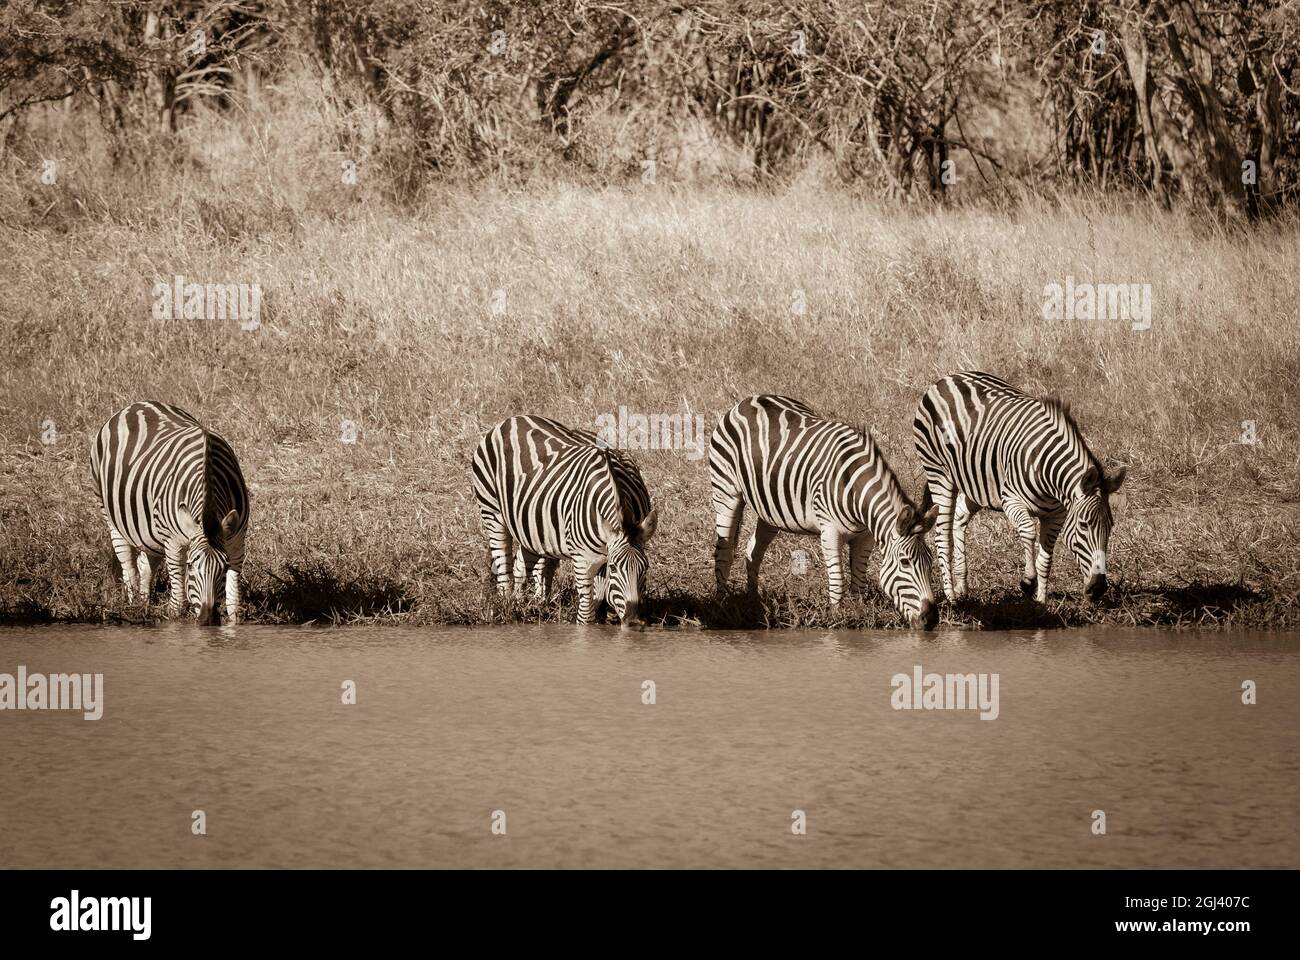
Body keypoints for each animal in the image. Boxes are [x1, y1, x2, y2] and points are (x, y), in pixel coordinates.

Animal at [89, 400, 250, 624]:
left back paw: (144, 604)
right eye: (190, 566)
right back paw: (133, 606)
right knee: (128, 565)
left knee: (146, 564)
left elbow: (233, 603)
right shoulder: (173, 544)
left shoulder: (236, 541)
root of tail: (136, 405)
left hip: (149, 531)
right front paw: (175, 625)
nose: (207, 620)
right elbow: (178, 602)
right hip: (110, 515)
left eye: (224, 568)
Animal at [470, 416, 660, 624]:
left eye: (646, 568)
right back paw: (508, 610)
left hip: (532, 526)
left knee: (522, 565)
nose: (633, 620)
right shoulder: (584, 560)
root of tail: (512, 419)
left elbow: (601, 598)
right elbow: (586, 615)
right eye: (614, 567)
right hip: (492, 511)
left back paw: (524, 606)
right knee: (504, 566)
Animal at [707, 395, 941, 629]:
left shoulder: (865, 536)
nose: (930, 619)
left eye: (931, 562)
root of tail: (749, 400)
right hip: (726, 493)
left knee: (753, 551)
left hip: (770, 510)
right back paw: (722, 604)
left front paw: (860, 614)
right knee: (724, 553)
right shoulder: (830, 531)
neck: (855, 489)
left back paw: (754, 602)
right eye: (905, 562)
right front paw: (837, 619)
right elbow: (838, 580)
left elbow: (858, 580)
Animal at [915, 369, 1128, 600]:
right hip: (939, 474)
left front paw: (1041, 601)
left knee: (960, 517)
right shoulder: (1011, 500)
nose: (1098, 589)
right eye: (1084, 525)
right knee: (942, 535)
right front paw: (1028, 581)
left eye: (1110, 526)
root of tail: (947, 378)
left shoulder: (1057, 515)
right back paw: (951, 596)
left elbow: (1046, 560)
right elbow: (1028, 531)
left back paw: (961, 585)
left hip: (977, 483)